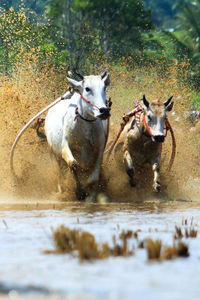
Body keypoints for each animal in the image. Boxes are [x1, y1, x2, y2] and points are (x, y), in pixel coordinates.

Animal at [44, 71, 111, 200]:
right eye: (87, 88)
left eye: (104, 87)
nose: (104, 110)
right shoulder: (65, 147)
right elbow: (73, 164)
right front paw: (79, 191)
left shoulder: (100, 149)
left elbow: (93, 178)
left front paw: (90, 193)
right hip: (52, 153)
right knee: (59, 174)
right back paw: (61, 191)